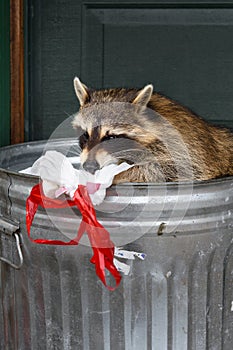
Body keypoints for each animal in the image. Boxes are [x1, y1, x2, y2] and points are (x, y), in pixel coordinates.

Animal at [72, 77, 233, 183]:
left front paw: (119, 176)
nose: (89, 166)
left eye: (111, 137)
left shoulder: (180, 150)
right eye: (85, 135)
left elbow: (157, 172)